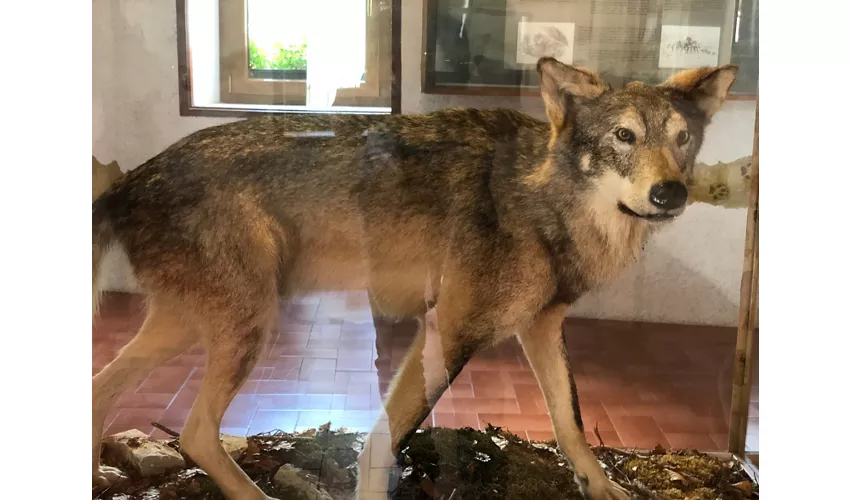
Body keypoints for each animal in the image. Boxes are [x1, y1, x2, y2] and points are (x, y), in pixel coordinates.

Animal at [92, 58, 737, 499]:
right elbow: (379, 445)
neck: (544, 201)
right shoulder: (446, 329)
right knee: (196, 433)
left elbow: (570, 422)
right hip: (250, 328)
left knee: (105, 397)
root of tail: (128, 179)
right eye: (624, 137)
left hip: (195, 327)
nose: (670, 192)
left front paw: (602, 488)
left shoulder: (542, 327)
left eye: (682, 139)